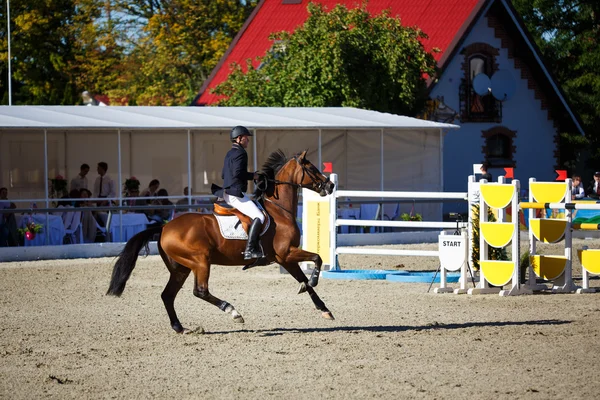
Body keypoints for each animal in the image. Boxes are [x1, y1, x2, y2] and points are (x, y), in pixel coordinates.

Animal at [106, 148, 336, 332]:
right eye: (312, 168)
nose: (330, 185)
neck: (279, 210)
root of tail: (164, 227)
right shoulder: (287, 253)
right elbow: (317, 258)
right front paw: (314, 282)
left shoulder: (284, 258)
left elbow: (304, 278)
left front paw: (324, 309)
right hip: (200, 262)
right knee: (200, 291)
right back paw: (233, 312)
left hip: (181, 268)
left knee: (167, 295)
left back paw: (180, 328)